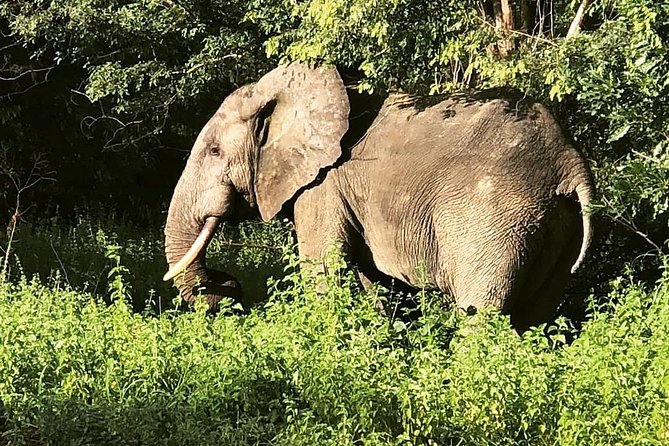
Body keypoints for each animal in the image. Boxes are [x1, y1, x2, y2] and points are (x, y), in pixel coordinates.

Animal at [163, 62, 594, 331]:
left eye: (214, 151)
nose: (230, 286)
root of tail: (569, 161)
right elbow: (372, 283)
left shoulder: (322, 185)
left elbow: (324, 271)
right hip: (559, 226)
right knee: (535, 316)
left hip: (493, 219)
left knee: (481, 312)